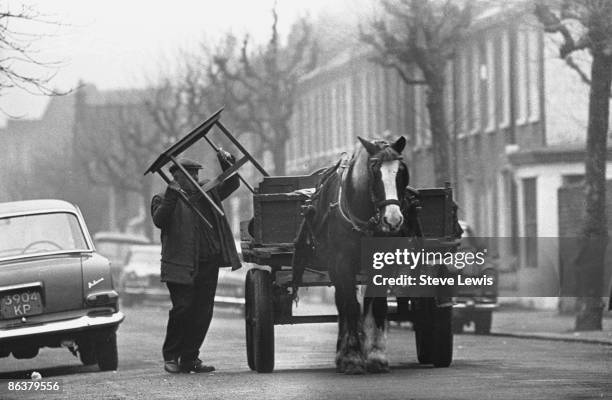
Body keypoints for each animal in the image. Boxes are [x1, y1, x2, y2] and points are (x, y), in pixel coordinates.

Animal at [292, 136, 408, 374]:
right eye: (375, 171)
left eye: (401, 171)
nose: (393, 220)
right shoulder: (342, 263)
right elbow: (351, 307)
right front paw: (352, 358)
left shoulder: (382, 265)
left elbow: (377, 305)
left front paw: (376, 356)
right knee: (343, 304)